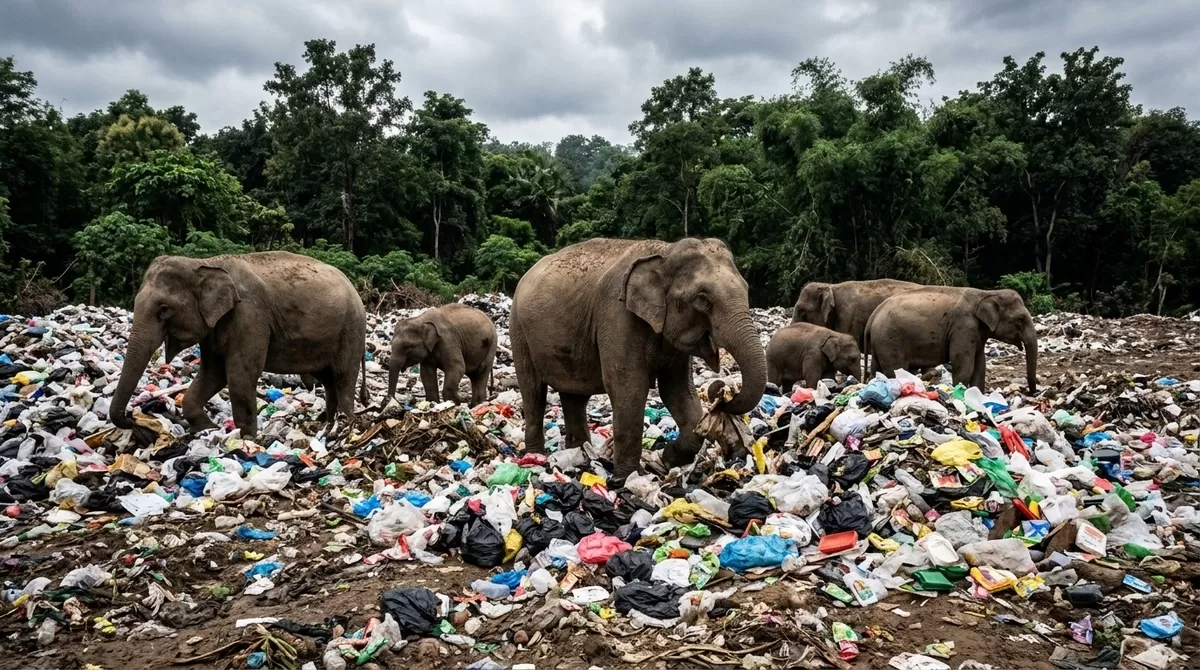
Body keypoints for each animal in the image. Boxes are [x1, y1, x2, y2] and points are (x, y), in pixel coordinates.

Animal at [109, 252, 367, 438]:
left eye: (163, 310)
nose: (131, 418)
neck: (204, 263)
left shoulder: (249, 316)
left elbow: (240, 375)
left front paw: (247, 441)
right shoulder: (215, 326)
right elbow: (213, 373)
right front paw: (209, 429)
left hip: (351, 329)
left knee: (343, 377)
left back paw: (345, 426)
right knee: (328, 379)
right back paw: (328, 425)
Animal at [510, 237, 767, 481]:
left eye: (746, 288)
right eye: (702, 300)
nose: (721, 394)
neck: (665, 251)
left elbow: (677, 391)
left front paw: (667, 459)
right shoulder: (616, 315)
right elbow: (629, 388)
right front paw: (628, 477)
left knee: (574, 397)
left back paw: (581, 454)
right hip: (519, 331)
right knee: (533, 392)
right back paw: (537, 457)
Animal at [864, 287, 1037, 392]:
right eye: (1021, 319)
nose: (1032, 393)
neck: (986, 293)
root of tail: (873, 316)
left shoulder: (977, 333)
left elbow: (980, 365)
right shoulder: (963, 327)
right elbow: (963, 363)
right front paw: (960, 393)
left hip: (880, 343)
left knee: (877, 369)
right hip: (890, 341)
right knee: (895, 370)